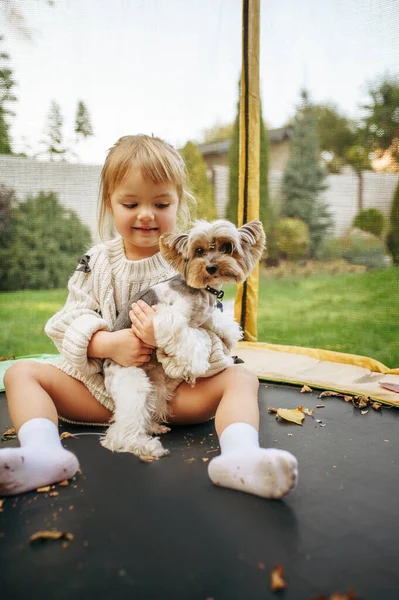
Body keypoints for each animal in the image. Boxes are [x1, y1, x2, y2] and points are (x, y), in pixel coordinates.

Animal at [101, 220, 268, 460]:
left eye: (227, 247)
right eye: (198, 250)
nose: (211, 267)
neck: (203, 291)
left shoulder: (206, 315)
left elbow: (214, 322)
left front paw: (229, 335)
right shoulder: (165, 317)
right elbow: (190, 335)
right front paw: (197, 363)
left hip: (155, 387)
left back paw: (154, 426)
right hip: (132, 384)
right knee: (122, 432)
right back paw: (145, 446)